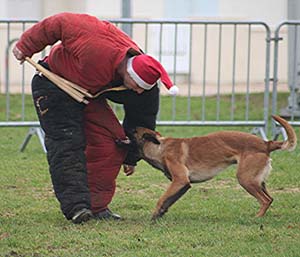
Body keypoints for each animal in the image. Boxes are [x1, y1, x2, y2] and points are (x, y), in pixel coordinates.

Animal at [134, 115, 298, 219]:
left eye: (133, 131)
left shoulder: (180, 180)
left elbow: (161, 199)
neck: (159, 147)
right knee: (270, 199)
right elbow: (168, 200)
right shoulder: (183, 184)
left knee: (264, 200)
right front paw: (159, 215)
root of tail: (266, 143)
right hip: (257, 181)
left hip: (245, 179)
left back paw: (256, 217)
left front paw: (154, 215)